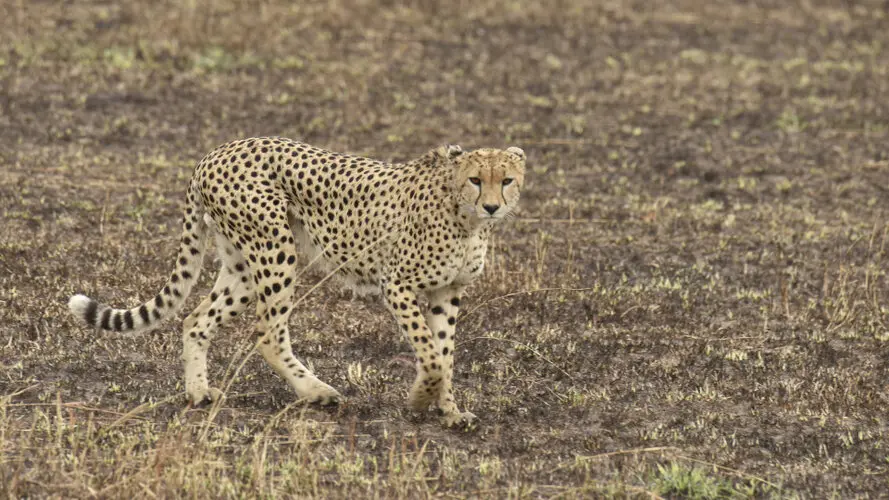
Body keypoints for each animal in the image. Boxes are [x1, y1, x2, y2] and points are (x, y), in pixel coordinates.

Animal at [71, 137, 528, 426]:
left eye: (506, 180)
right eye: (476, 179)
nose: (491, 206)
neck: (465, 217)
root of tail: (217, 151)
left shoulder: (447, 293)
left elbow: (445, 354)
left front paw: (450, 411)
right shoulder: (396, 284)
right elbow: (432, 355)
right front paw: (420, 400)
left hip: (242, 265)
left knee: (196, 320)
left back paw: (199, 392)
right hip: (275, 250)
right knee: (268, 333)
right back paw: (316, 391)